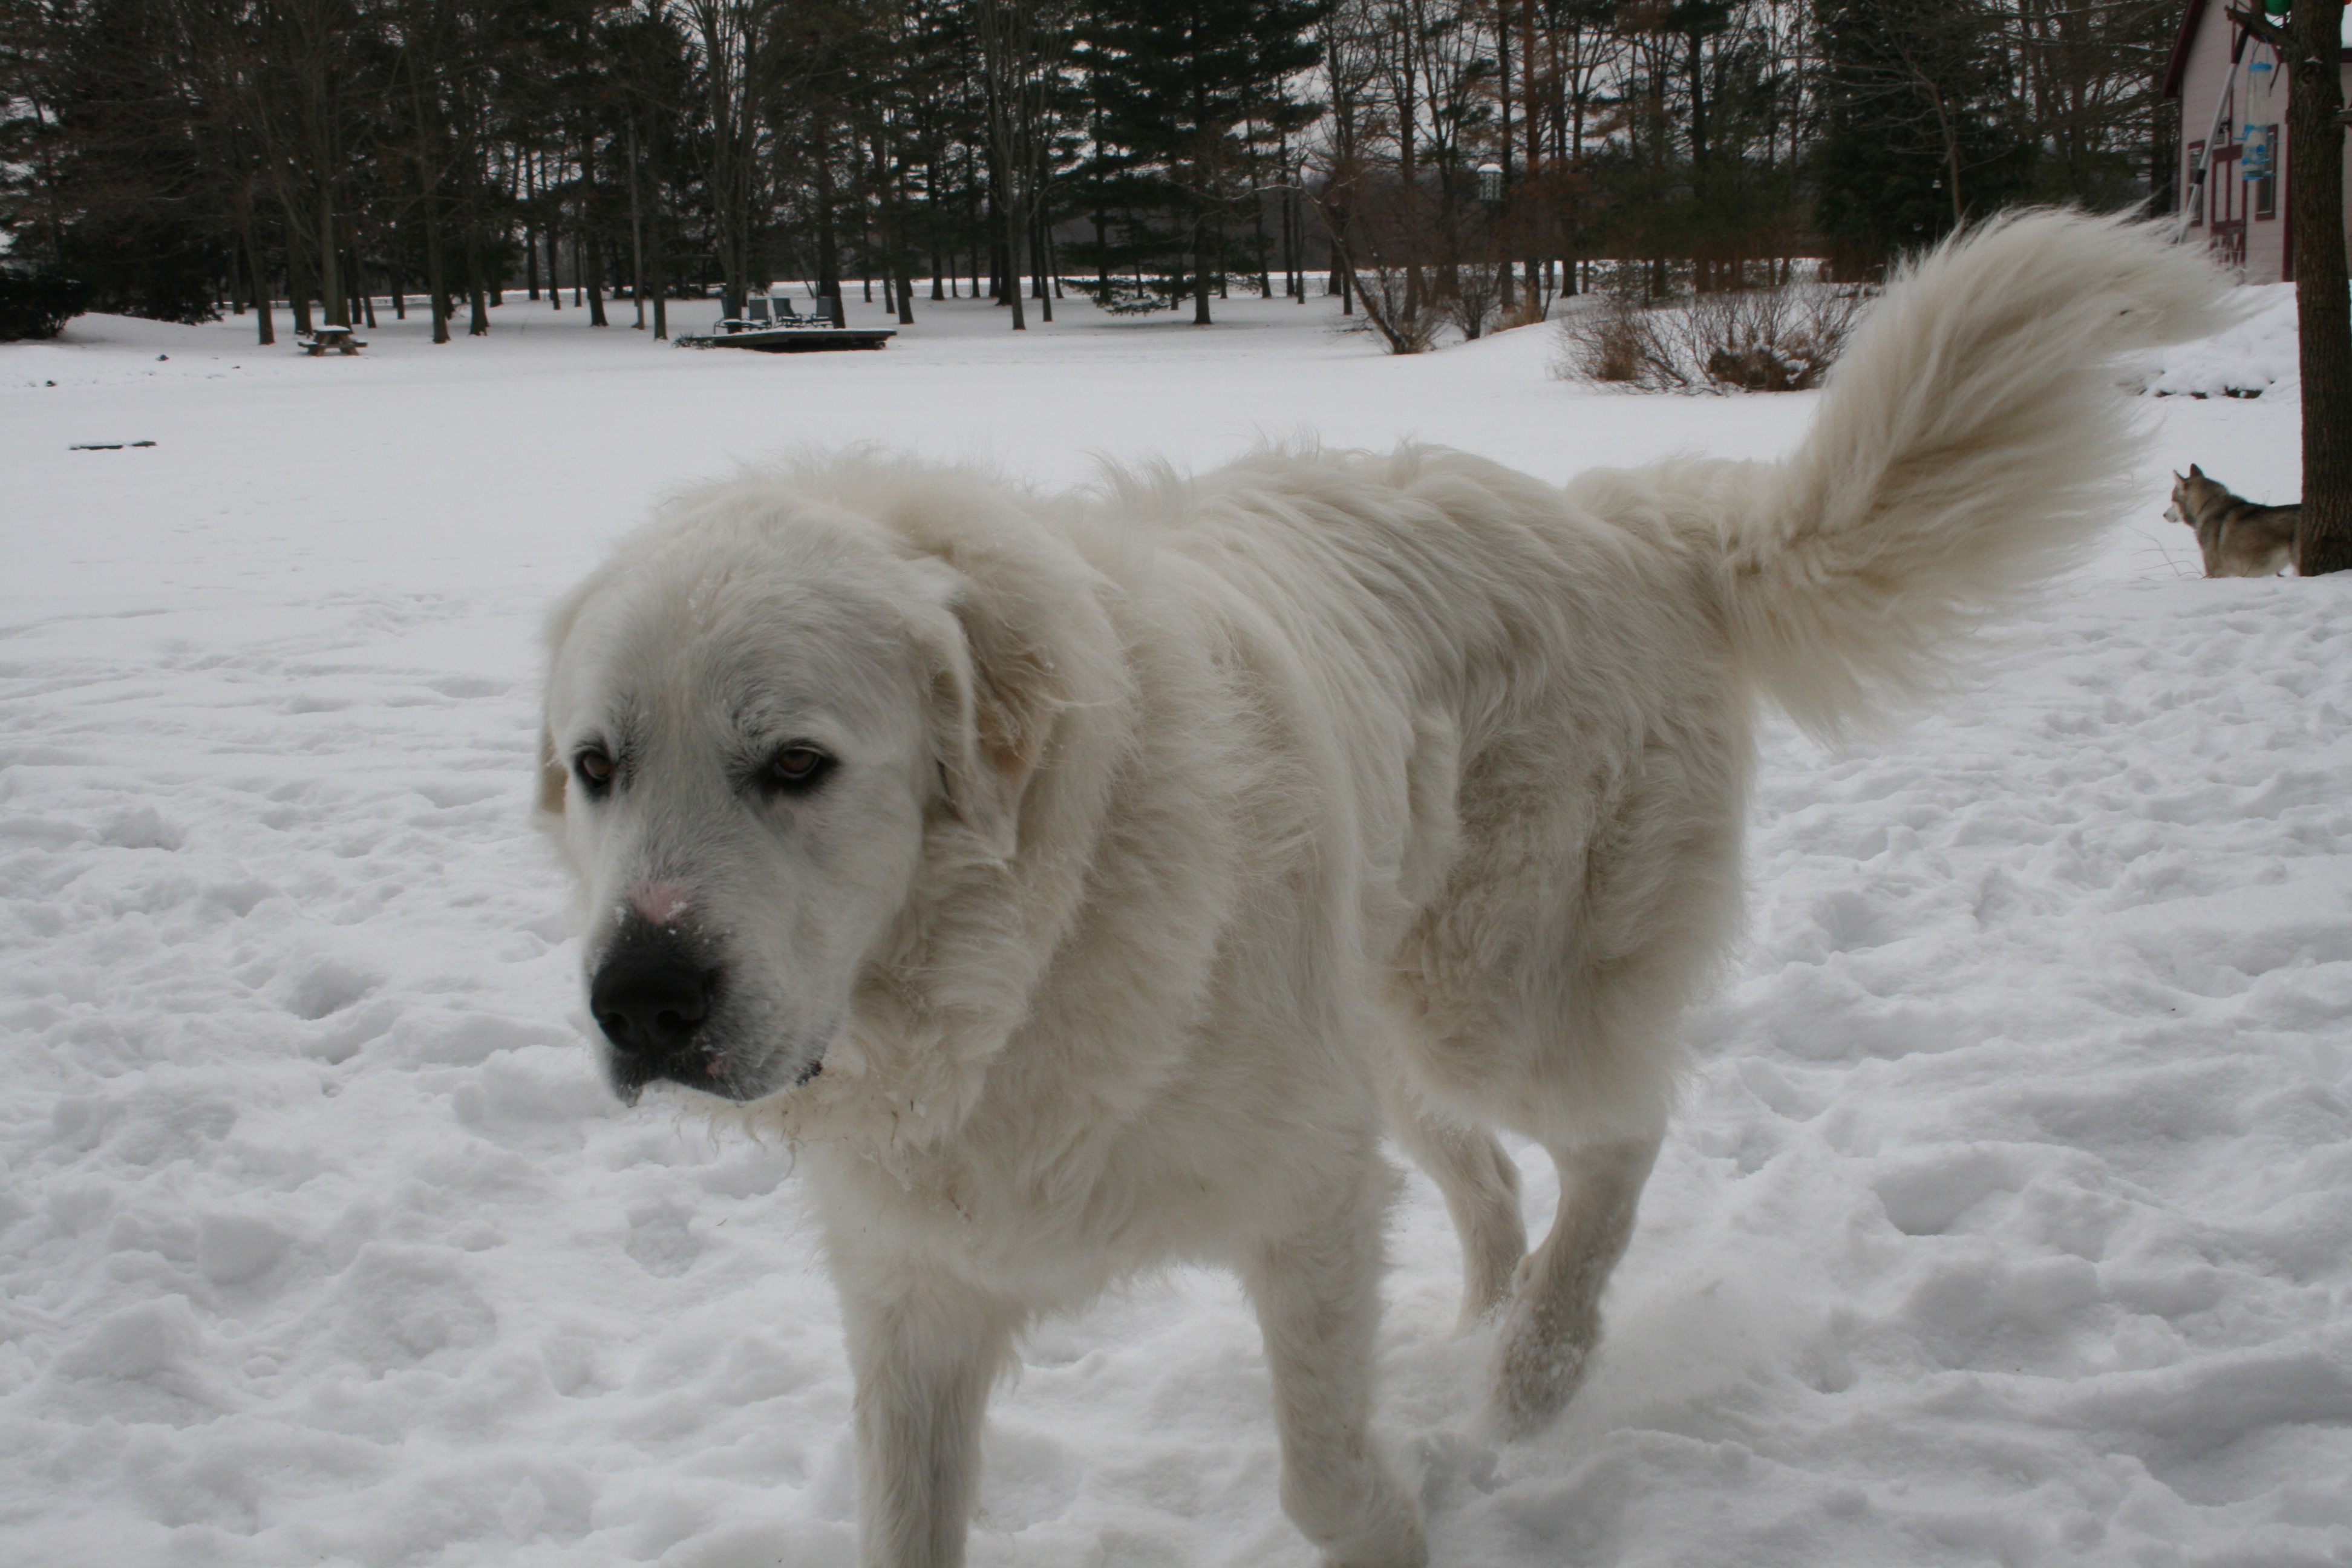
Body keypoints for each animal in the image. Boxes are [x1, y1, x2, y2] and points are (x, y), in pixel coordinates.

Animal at [541, 211, 2229, 1568]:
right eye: (598, 766)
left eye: (796, 764)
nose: (639, 1004)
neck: (1023, 950)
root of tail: (1623, 525)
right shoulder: (918, 1293)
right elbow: (905, 1525)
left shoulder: (1301, 1203)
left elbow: (1325, 1485)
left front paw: (1407, 1505)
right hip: (1395, 1026)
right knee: (1490, 1184)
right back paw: (1488, 1323)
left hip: (1496, 997)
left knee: (1617, 1136)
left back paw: (1539, 1364)